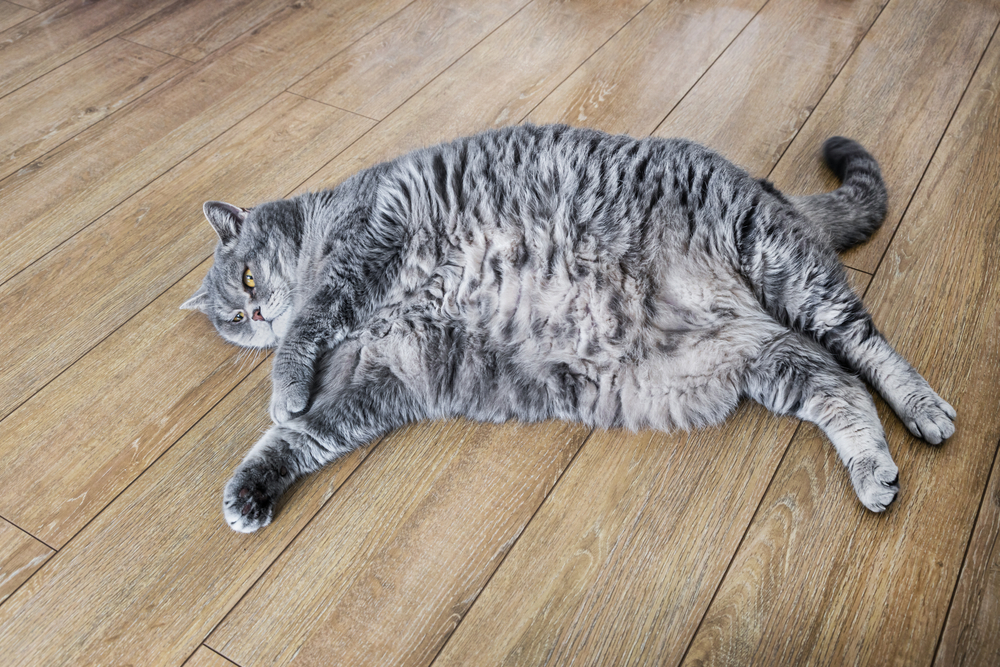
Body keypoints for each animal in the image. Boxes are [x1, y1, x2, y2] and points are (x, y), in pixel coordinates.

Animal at [178, 124, 952, 532]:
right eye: (230, 319)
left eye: (247, 281)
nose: (252, 316)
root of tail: (770, 190)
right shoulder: (383, 380)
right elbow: (302, 437)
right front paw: (251, 488)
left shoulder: (369, 241)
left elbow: (308, 329)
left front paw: (283, 383)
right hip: (765, 354)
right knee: (839, 386)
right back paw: (872, 470)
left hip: (779, 260)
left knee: (869, 351)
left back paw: (924, 410)